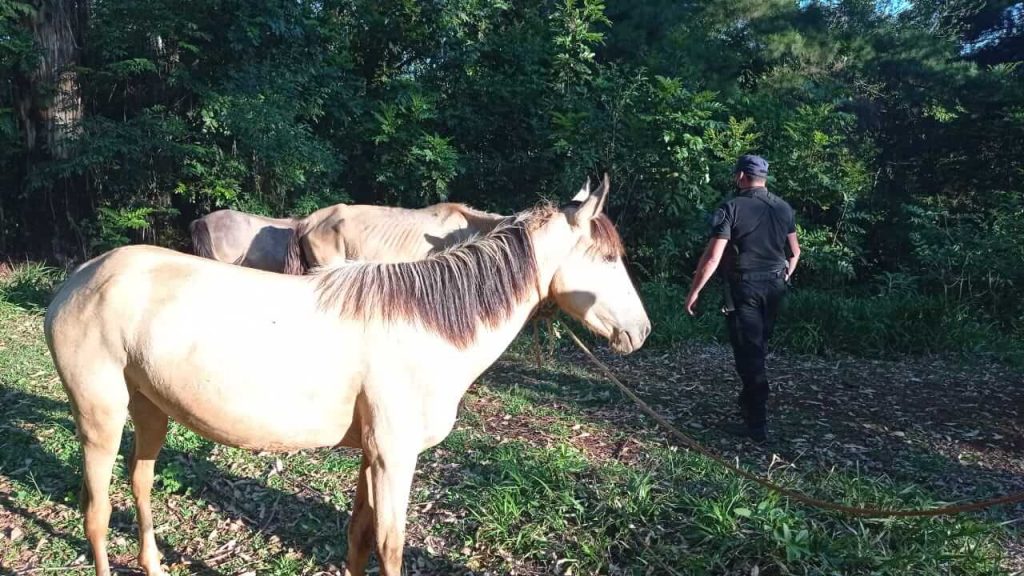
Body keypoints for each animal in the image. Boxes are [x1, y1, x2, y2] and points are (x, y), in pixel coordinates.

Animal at [46, 174, 647, 573]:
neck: (427, 323)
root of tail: (81, 278)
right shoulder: (393, 458)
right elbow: (390, 546)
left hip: (150, 410)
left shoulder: (370, 456)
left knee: (140, 482)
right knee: (97, 512)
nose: (640, 332)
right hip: (99, 419)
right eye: (607, 259)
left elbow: (358, 537)